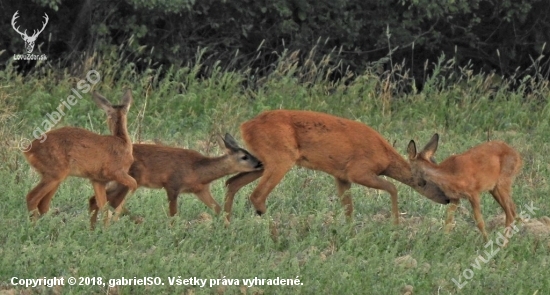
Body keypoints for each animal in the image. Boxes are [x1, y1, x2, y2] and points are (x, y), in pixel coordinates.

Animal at [24, 90, 138, 229]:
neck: (122, 141)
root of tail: (28, 151)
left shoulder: (97, 180)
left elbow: (103, 207)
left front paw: (103, 229)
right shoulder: (115, 172)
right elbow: (134, 185)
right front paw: (115, 219)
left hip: (54, 176)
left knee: (43, 203)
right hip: (55, 173)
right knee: (32, 197)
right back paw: (34, 227)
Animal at [88, 133, 264, 223]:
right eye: (244, 157)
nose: (260, 163)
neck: (198, 171)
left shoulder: (201, 190)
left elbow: (219, 209)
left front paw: (227, 227)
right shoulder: (172, 185)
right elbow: (174, 215)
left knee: (100, 199)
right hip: (130, 179)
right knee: (111, 201)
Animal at [224, 110, 452, 224]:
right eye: (425, 181)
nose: (447, 199)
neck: (385, 157)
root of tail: (246, 125)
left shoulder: (341, 176)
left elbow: (348, 209)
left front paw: (350, 235)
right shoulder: (358, 171)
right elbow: (393, 187)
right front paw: (395, 227)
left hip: (261, 160)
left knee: (231, 182)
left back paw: (226, 224)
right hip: (281, 157)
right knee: (256, 196)